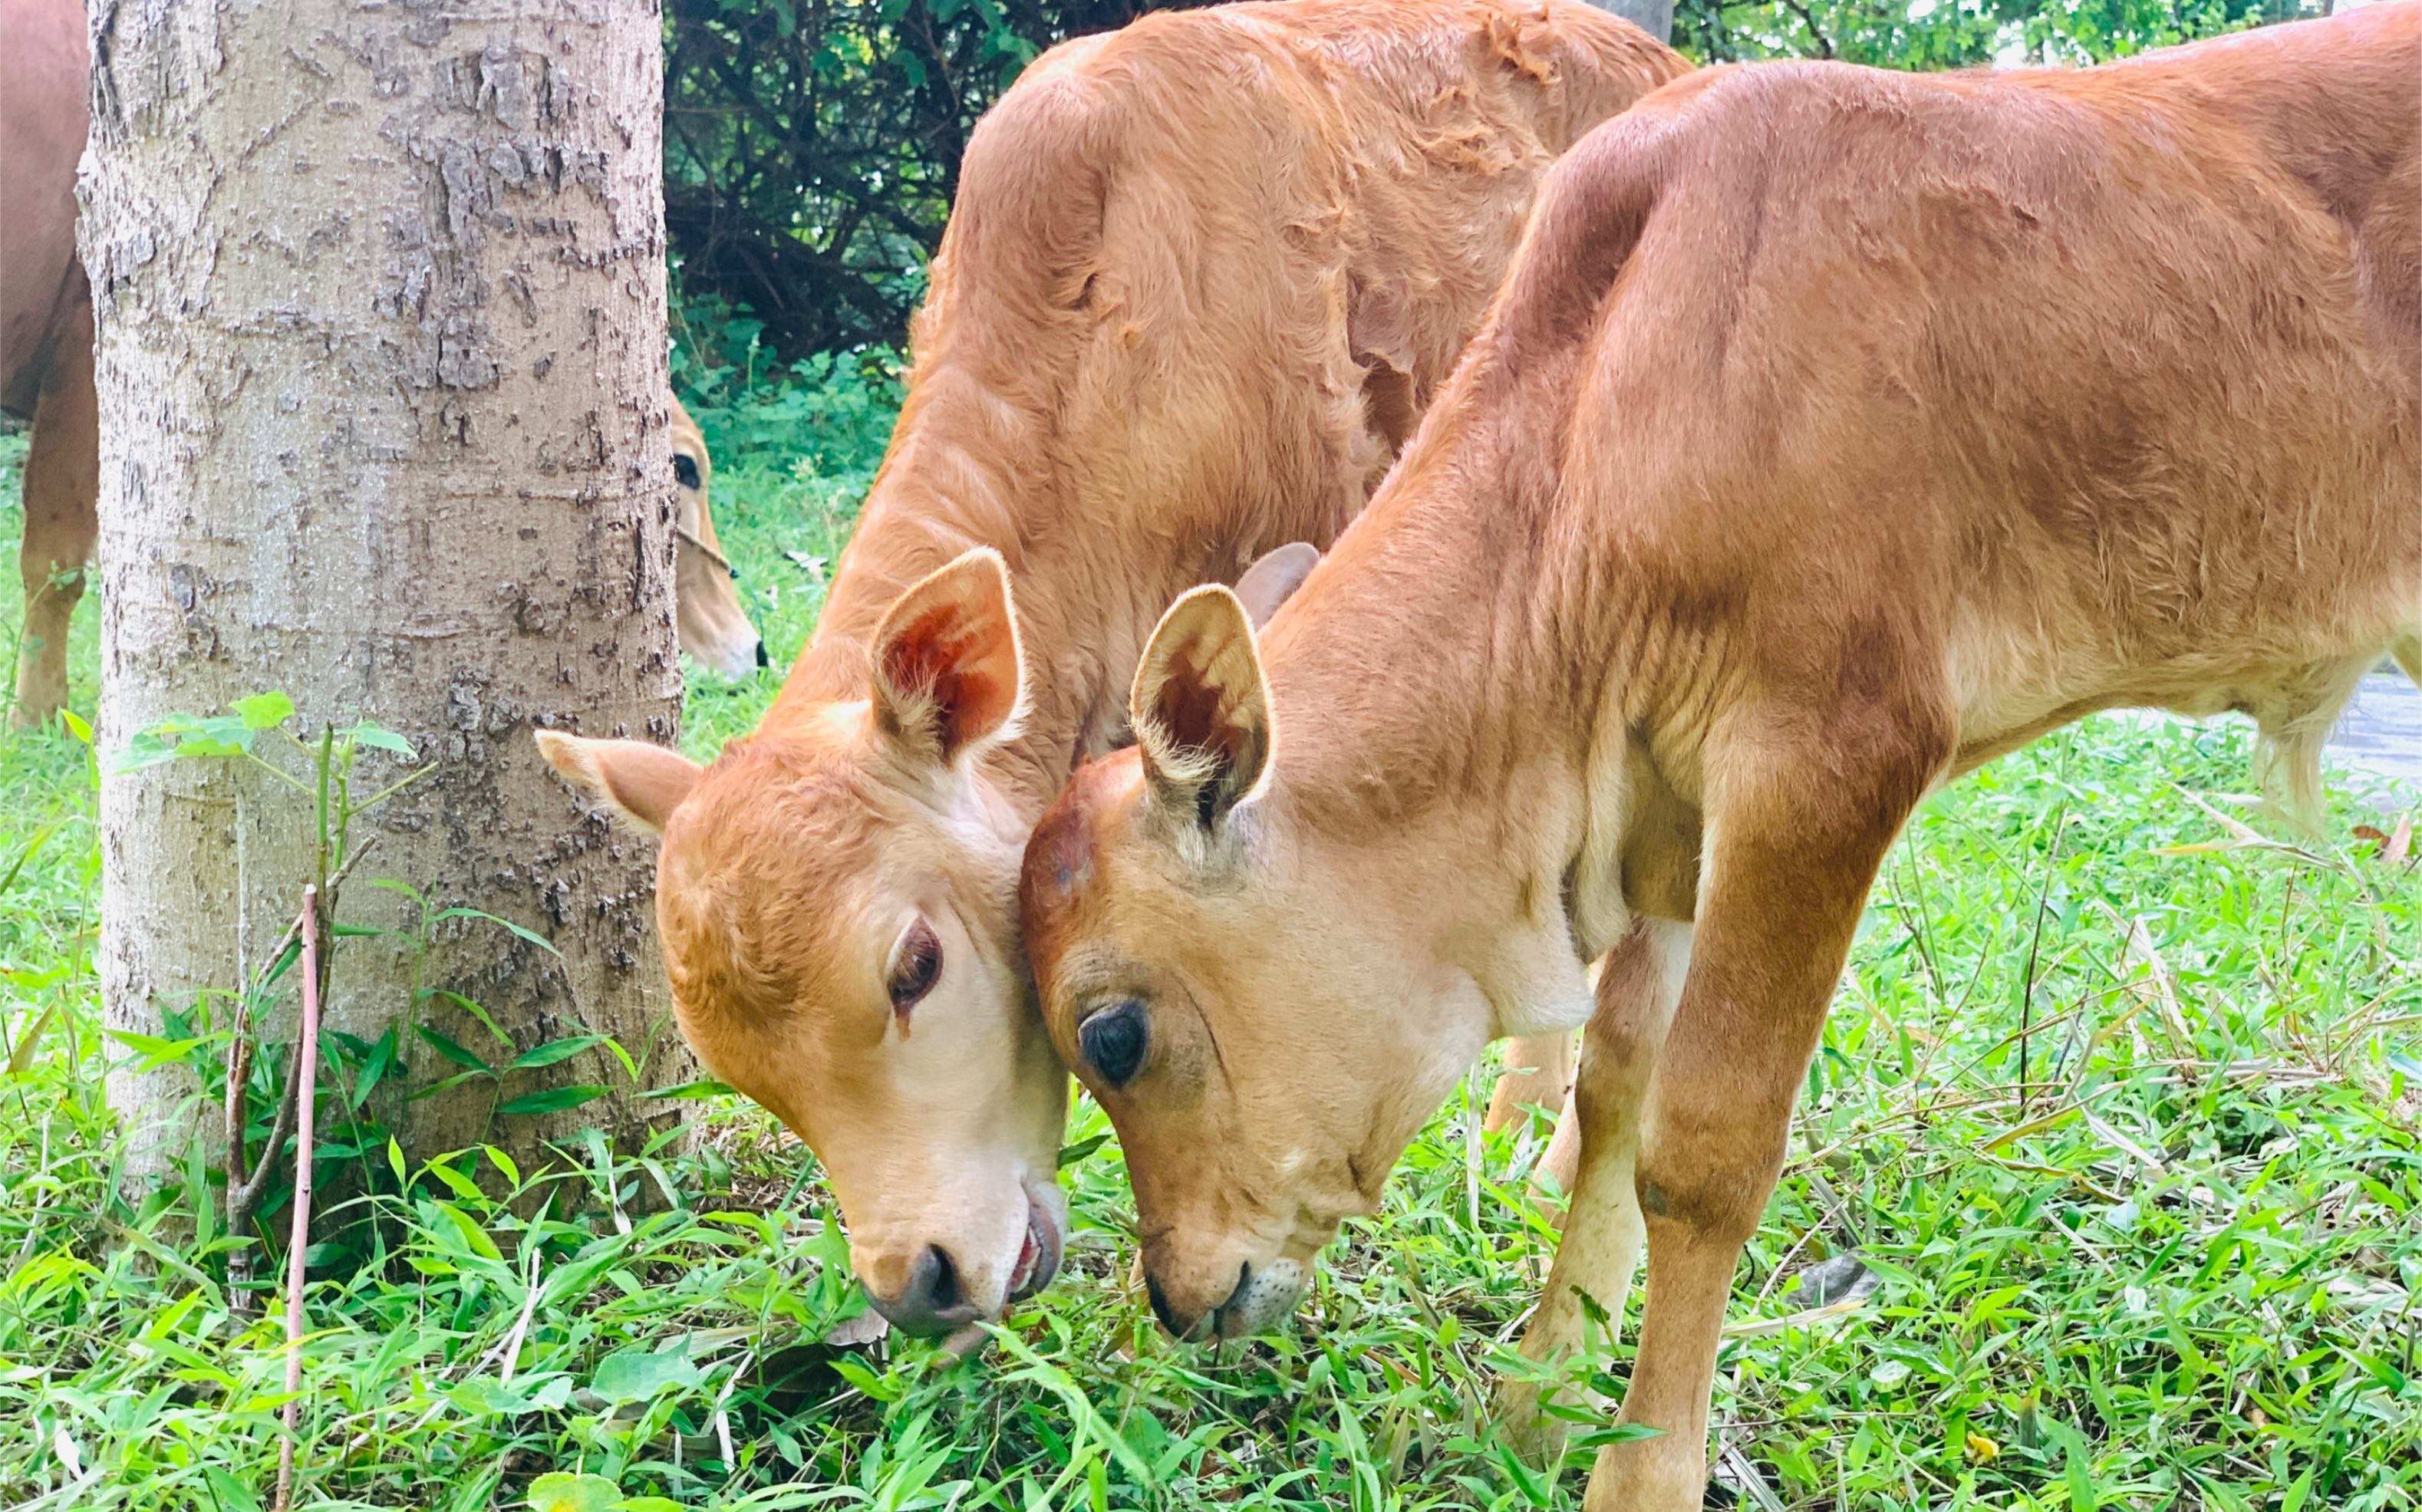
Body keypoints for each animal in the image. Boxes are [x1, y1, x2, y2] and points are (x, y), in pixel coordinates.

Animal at [1022, 5, 2422, 1502]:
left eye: (1112, 1032)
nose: (1174, 1296)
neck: (1600, 406)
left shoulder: (1825, 762)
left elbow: (1704, 1149)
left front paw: (1639, 1466)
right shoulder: (1672, 802)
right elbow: (1615, 1084)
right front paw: (1542, 1393)